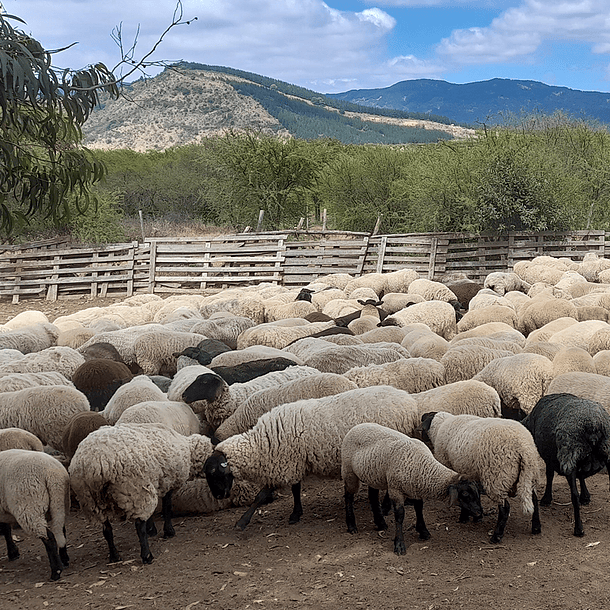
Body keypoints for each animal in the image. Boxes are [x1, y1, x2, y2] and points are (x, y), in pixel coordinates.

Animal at [68, 420, 214, 564]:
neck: (187, 449)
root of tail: (95, 464)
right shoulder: (167, 483)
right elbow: (167, 508)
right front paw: (168, 531)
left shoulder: (151, 485)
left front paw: (152, 529)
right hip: (134, 489)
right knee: (138, 525)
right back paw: (147, 555)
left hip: (92, 501)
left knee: (107, 530)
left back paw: (114, 556)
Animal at [202, 384, 420, 528]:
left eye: (214, 472)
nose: (219, 496)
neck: (261, 443)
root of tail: (409, 401)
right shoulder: (294, 462)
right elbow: (296, 489)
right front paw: (296, 513)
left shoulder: (285, 463)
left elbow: (261, 496)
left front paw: (242, 521)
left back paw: (385, 507)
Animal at [342, 420, 480, 552]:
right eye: (465, 494)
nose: (480, 513)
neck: (423, 467)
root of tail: (358, 426)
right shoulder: (395, 490)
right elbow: (399, 516)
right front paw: (399, 544)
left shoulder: (415, 489)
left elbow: (419, 509)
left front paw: (423, 531)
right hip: (349, 471)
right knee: (349, 496)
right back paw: (351, 525)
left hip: (373, 475)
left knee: (373, 496)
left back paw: (381, 523)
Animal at [418, 408, 540, 540]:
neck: (440, 426)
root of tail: (524, 448)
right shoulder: (473, 473)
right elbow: (474, 494)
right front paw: (477, 516)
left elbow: (463, 495)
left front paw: (464, 517)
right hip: (528, 475)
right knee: (534, 499)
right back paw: (536, 528)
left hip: (497, 477)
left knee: (505, 508)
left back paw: (496, 536)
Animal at [516, 392, 608, 536]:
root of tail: (593, 423)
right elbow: (582, 477)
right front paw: (586, 497)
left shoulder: (549, 458)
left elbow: (549, 475)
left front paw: (546, 499)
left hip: (569, 453)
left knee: (574, 495)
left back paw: (578, 529)